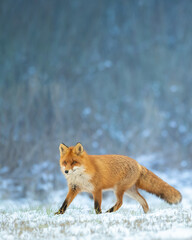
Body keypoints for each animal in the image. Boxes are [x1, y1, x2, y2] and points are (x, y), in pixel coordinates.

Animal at [54, 142, 182, 215]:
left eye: (74, 162)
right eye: (65, 162)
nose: (66, 171)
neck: (80, 176)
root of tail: (138, 164)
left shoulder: (97, 189)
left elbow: (97, 206)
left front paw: (99, 215)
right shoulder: (74, 188)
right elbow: (64, 204)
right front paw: (58, 214)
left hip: (118, 189)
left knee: (120, 202)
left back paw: (109, 212)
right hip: (130, 191)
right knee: (144, 201)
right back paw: (146, 215)